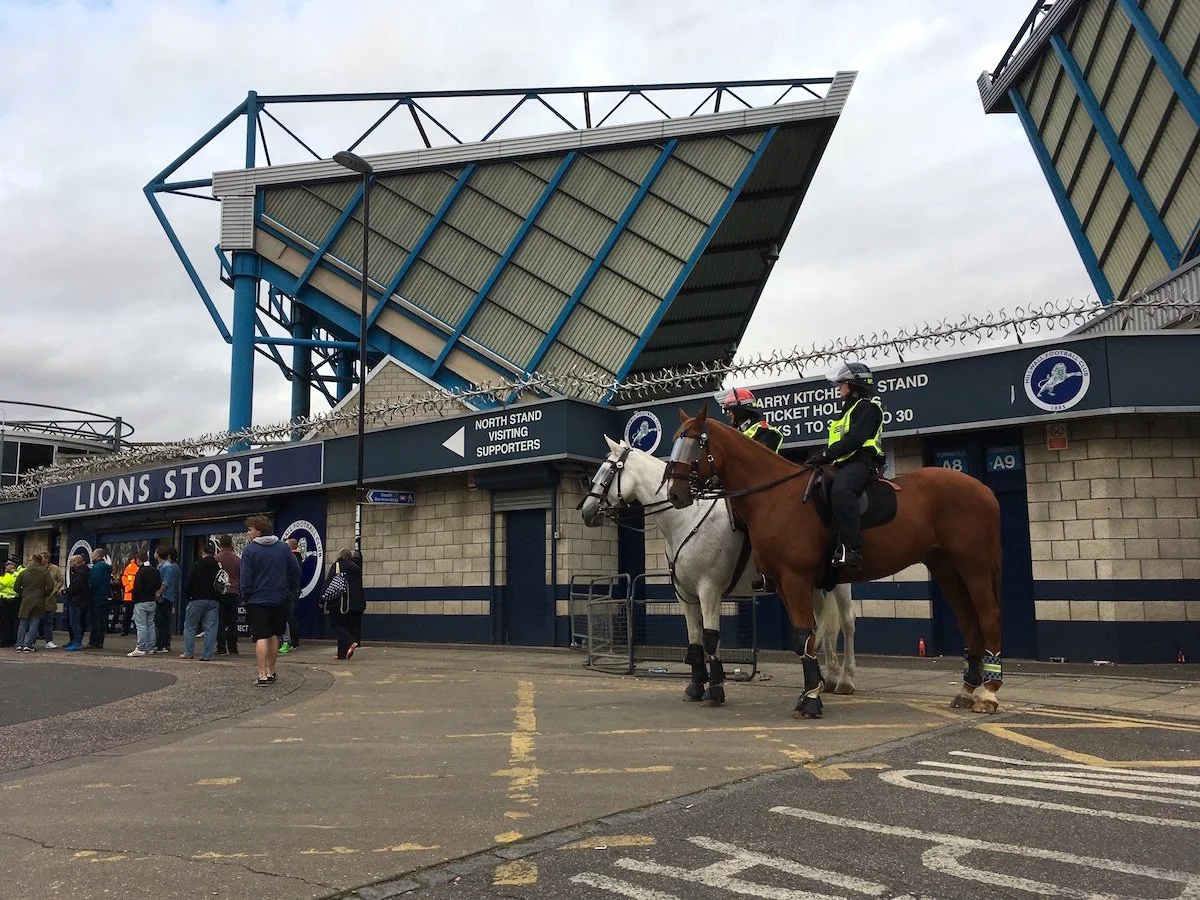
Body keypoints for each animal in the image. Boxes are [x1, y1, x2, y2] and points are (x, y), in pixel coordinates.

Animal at [579, 436, 856, 706]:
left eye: (609, 471)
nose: (587, 511)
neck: (687, 518)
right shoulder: (684, 594)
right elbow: (695, 637)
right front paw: (696, 687)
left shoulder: (708, 589)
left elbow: (711, 638)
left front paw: (714, 691)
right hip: (811, 584)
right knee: (823, 625)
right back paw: (827, 679)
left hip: (837, 582)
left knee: (847, 622)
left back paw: (845, 680)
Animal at [664, 405, 1003, 719]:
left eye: (696, 443)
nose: (675, 493)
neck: (775, 497)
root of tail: (983, 489)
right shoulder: (779, 584)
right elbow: (803, 637)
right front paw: (808, 692)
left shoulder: (784, 580)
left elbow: (803, 635)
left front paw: (810, 699)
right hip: (945, 567)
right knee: (968, 620)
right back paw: (967, 689)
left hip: (973, 565)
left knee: (987, 617)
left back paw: (988, 692)